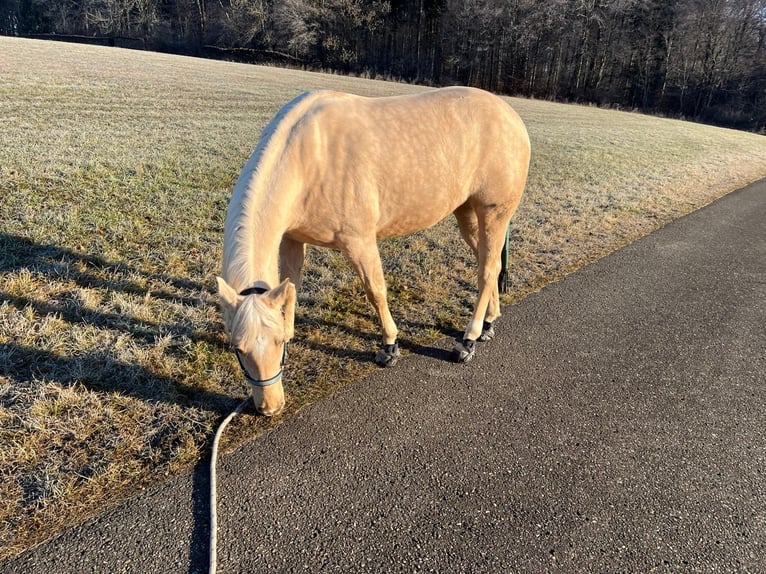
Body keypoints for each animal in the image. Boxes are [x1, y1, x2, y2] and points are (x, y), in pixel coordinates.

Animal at [217, 86, 530, 416]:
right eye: (237, 348)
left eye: (277, 343)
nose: (269, 407)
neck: (308, 158)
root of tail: (511, 117)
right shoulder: (291, 239)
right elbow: (291, 290)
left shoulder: (359, 242)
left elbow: (376, 291)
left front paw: (389, 347)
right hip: (467, 214)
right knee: (490, 264)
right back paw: (488, 324)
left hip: (493, 215)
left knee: (486, 273)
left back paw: (468, 340)